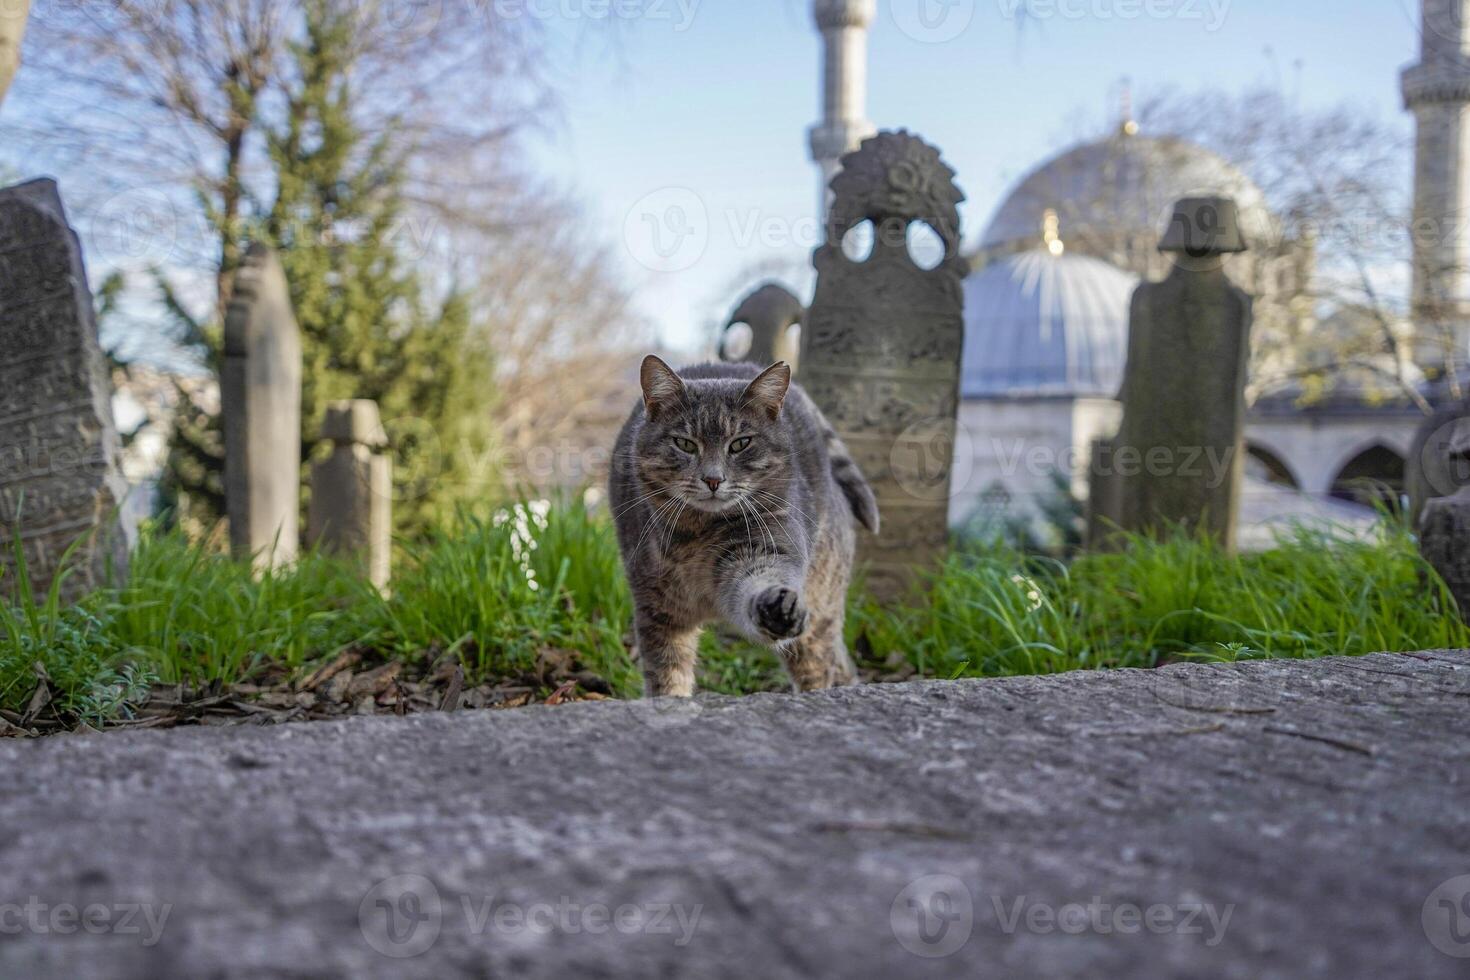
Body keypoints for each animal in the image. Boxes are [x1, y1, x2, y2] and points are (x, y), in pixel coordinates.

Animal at [605, 358, 876, 696]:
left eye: (740, 444)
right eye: (685, 444)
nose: (713, 479)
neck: (696, 534)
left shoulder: (765, 545)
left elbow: (760, 579)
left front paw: (777, 607)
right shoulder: (657, 607)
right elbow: (667, 673)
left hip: (819, 613)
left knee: (821, 664)